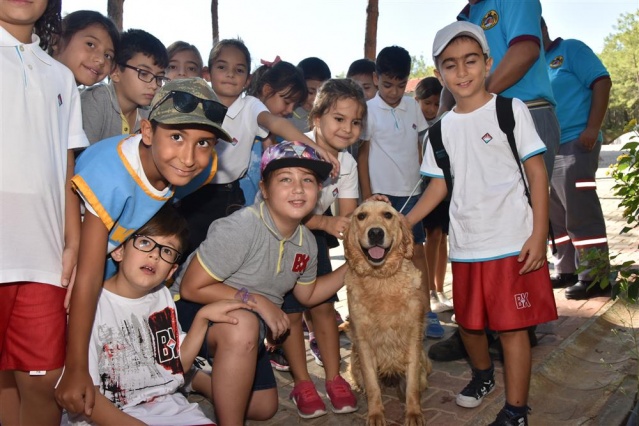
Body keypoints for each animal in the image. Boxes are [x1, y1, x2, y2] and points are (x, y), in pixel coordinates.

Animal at [343, 201, 431, 426]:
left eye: (388, 215)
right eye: (361, 216)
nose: (375, 232)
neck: (381, 279)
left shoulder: (413, 339)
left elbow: (412, 386)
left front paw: (413, 413)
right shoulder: (363, 344)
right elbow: (373, 386)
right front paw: (375, 414)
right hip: (355, 362)